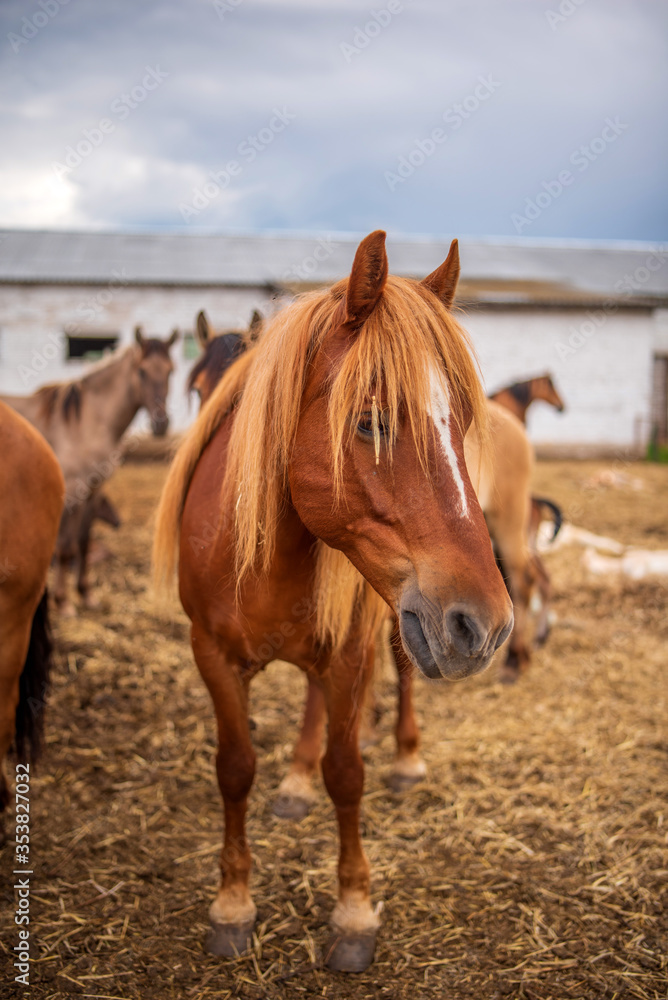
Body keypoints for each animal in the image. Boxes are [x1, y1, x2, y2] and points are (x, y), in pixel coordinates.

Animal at [1, 328, 177, 612]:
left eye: (170, 371)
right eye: (141, 372)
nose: (161, 424)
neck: (88, 421)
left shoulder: (94, 489)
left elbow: (83, 542)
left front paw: (86, 595)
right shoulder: (73, 489)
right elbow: (66, 546)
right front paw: (63, 602)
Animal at [154, 232, 516, 968]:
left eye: (462, 421)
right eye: (370, 422)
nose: (487, 624)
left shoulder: (352, 651)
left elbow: (347, 773)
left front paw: (352, 913)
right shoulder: (212, 656)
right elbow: (235, 768)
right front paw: (232, 903)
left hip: (403, 628)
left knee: (399, 678)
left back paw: (405, 757)